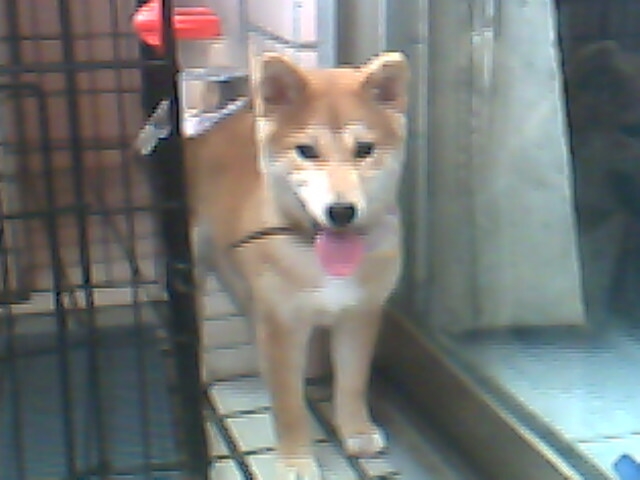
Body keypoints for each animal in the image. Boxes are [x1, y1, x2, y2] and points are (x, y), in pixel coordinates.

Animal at [185, 51, 410, 479]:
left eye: (364, 149)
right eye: (307, 150)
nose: (341, 210)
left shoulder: (360, 314)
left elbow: (353, 380)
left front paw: (356, 430)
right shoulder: (282, 325)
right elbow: (288, 403)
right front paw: (295, 459)